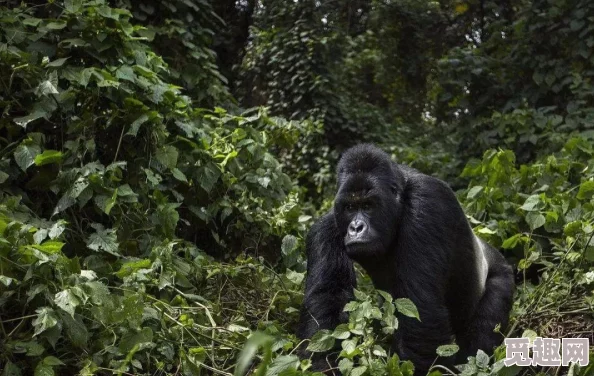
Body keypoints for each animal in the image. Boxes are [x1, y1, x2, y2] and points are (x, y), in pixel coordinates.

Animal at [296, 143, 512, 374]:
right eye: (350, 208)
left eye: (368, 206)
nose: (356, 228)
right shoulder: (327, 225)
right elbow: (328, 299)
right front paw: (322, 365)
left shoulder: (428, 205)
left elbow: (422, 311)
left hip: (502, 273)